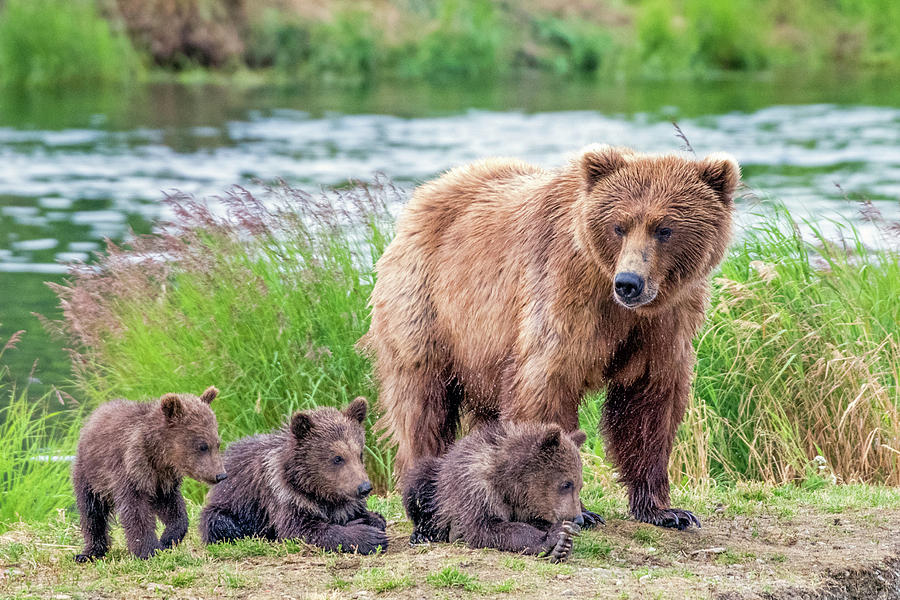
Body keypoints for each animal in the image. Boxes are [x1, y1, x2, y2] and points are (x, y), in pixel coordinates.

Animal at [358, 145, 740, 528]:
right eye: (619, 226)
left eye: (664, 229)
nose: (629, 282)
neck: (615, 301)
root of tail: (427, 193)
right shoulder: (565, 293)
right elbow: (547, 383)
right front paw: (580, 511)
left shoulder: (663, 324)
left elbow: (648, 403)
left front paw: (666, 511)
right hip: (429, 307)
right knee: (423, 403)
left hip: (484, 352)